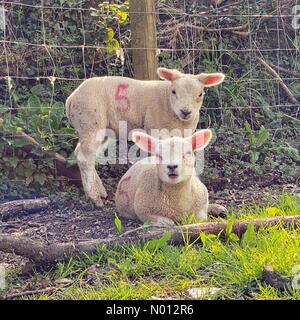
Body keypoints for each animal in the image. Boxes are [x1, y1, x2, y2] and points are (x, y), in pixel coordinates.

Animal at [65, 68, 225, 206]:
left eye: (200, 94)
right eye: (174, 91)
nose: (185, 111)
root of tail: (70, 99)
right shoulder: (156, 130)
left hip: (101, 130)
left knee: (83, 155)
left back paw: (100, 191)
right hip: (90, 123)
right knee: (85, 158)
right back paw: (94, 198)